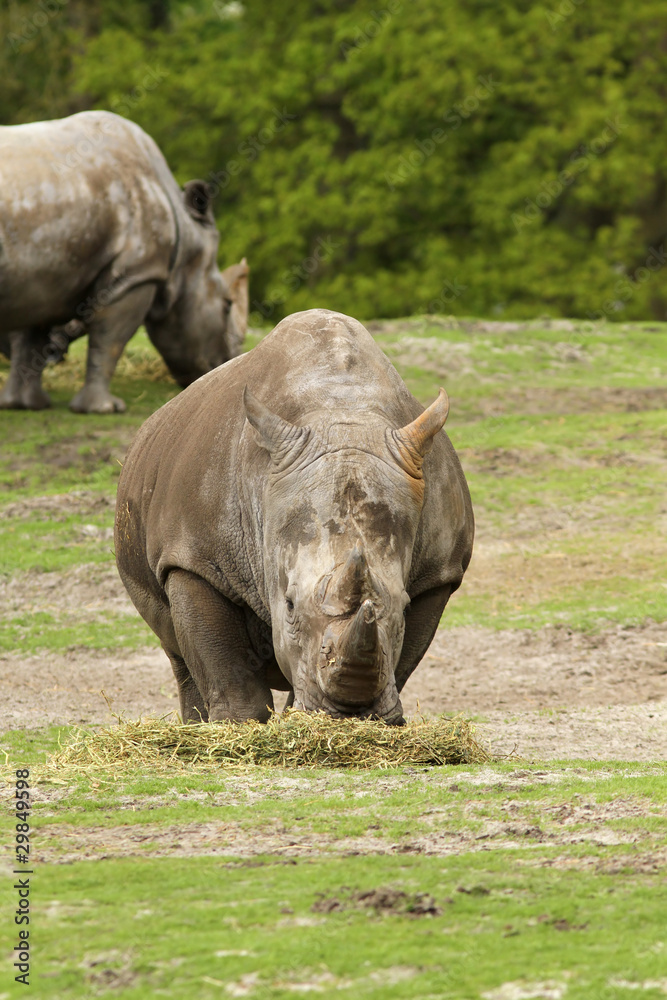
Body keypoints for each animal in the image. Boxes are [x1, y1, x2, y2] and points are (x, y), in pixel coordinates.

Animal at [0, 110, 246, 413]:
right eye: (227, 305)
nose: (227, 363)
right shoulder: (137, 274)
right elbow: (110, 338)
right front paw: (104, 408)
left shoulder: (42, 272)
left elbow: (28, 338)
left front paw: (26, 404)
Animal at [115, 309, 474, 724]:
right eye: (288, 604)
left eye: (404, 604)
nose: (349, 714)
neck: (343, 410)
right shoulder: (194, 557)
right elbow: (223, 664)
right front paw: (239, 725)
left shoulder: (439, 572)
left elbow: (403, 654)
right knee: (177, 651)